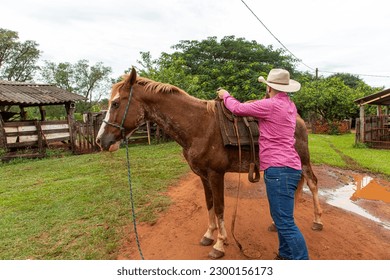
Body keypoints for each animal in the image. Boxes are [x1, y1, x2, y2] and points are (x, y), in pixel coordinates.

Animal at [96, 66, 322, 260]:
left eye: (116, 103)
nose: (100, 141)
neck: (198, 126)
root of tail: (300, 120)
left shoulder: (216, 174)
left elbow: (220, 207)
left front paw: (220, 244)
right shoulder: (203, 176)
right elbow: (209, 204)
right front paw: (209, 235)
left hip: (303, 161)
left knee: (312, 182)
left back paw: (318, 220)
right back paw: (278, 223)